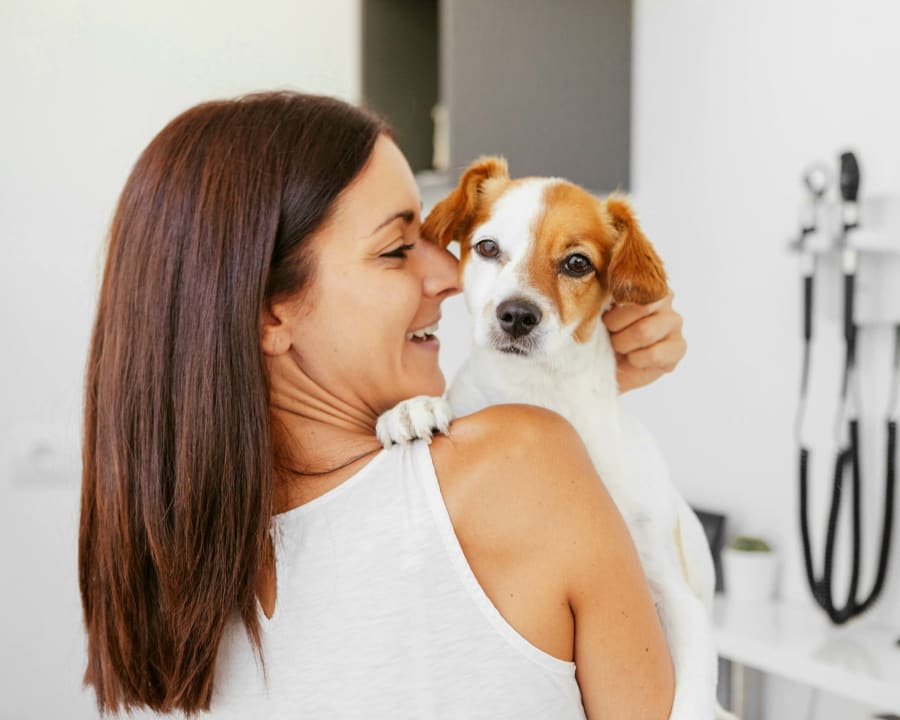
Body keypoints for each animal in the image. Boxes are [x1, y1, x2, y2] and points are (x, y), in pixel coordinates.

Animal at [376, 158, 736, 720]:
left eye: (576, 263)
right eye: (487, 247)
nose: (517, 315)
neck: (542, 393)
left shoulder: (679, 600)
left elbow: (693, 698)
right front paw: (415, 406)